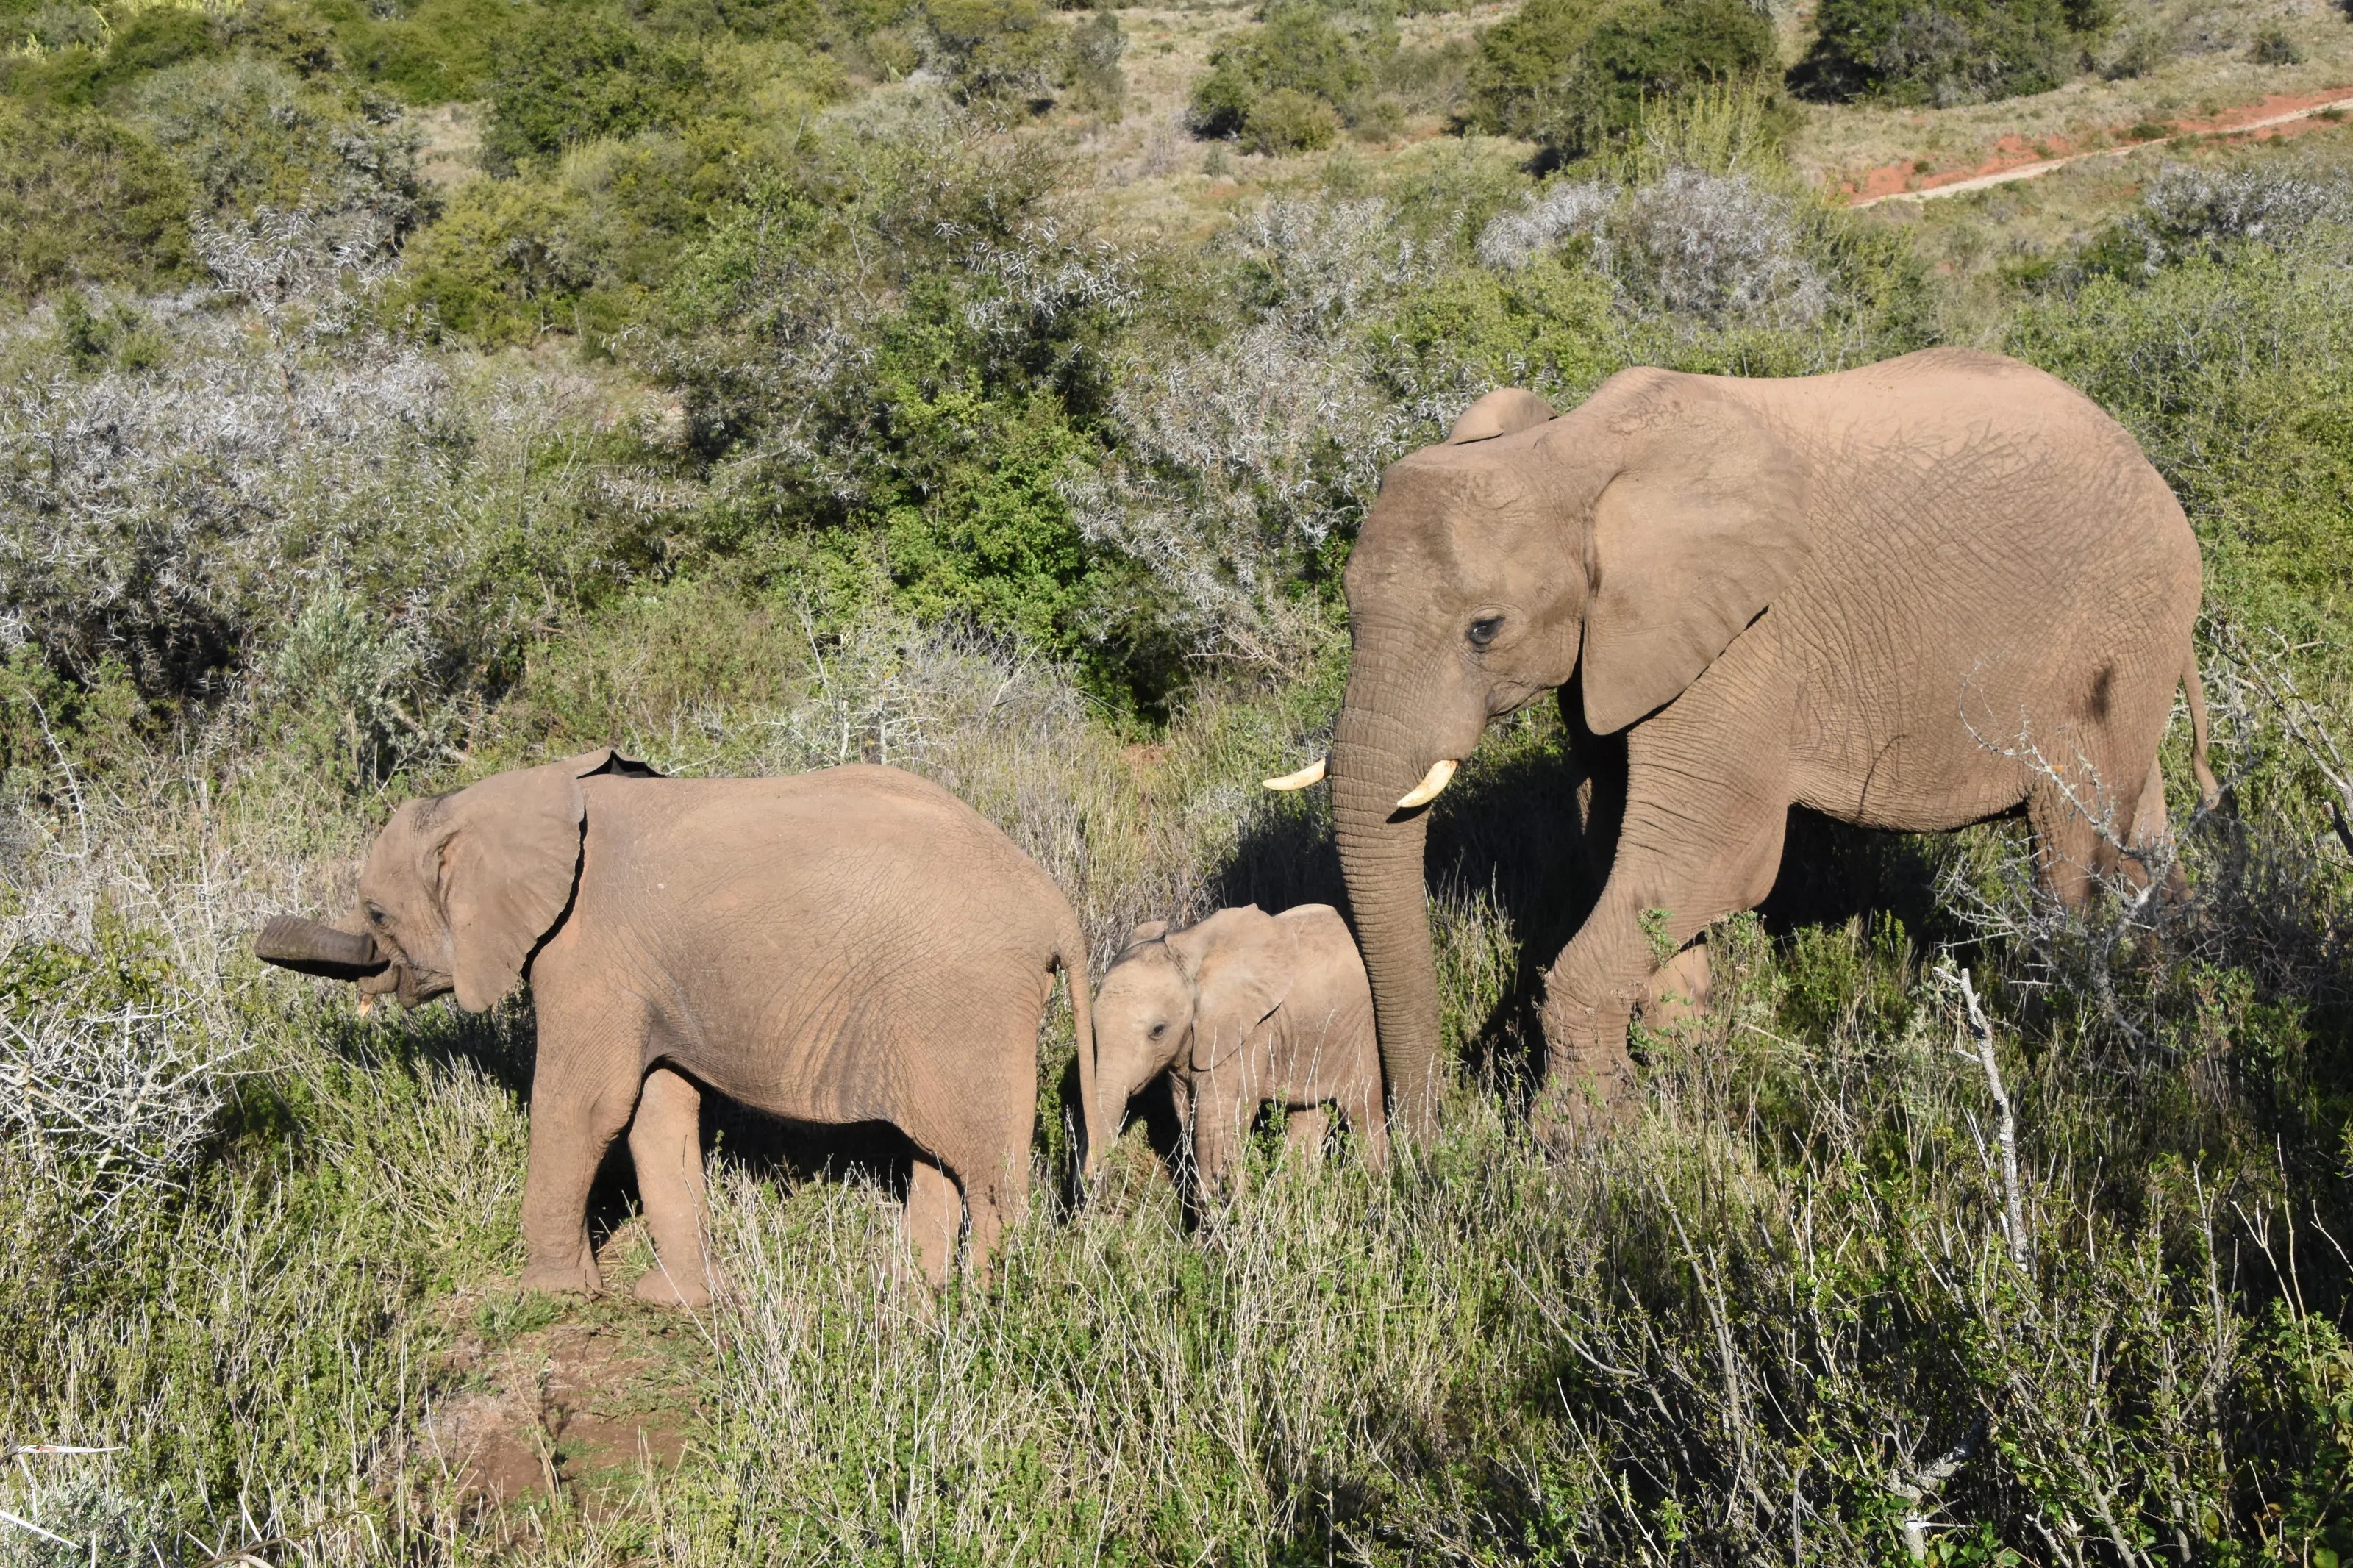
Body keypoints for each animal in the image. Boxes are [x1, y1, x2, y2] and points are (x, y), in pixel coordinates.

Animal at [254, 749, 1100, 1300]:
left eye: (375, 912)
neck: (508, 795)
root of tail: (1057, 907)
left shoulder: (583, 948)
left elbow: (584, 1106)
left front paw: (552, 1295)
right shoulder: (642, 970)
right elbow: (656, 1111)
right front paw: (684, 1300)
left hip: (965, 1000)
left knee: (989, 1174)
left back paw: (984, 1309)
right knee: (939, 1157)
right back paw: (910, 1302)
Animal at [1090, 903, 1388, 1190]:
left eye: (1158, 1030)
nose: (1100, 1185)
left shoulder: (1245, 1037)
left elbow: (1215, 1126)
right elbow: (1189, 1118)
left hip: (1362, 1031)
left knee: (1363, 1110)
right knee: (1309, 1112)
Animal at [1267, 347, 2218, 1141]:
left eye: (1484, 628)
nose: (1429, 1144)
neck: (1569, 452)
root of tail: (2142, 459)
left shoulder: (1743, 650)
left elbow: (1709, 859)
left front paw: (1576, 1155)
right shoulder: (1614, 656)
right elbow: (1619, 840)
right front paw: (1681, 1071)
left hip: (2113, 628)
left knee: (2069, 852)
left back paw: (2071, 1041)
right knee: (2141, 835)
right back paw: (2177, 1009)